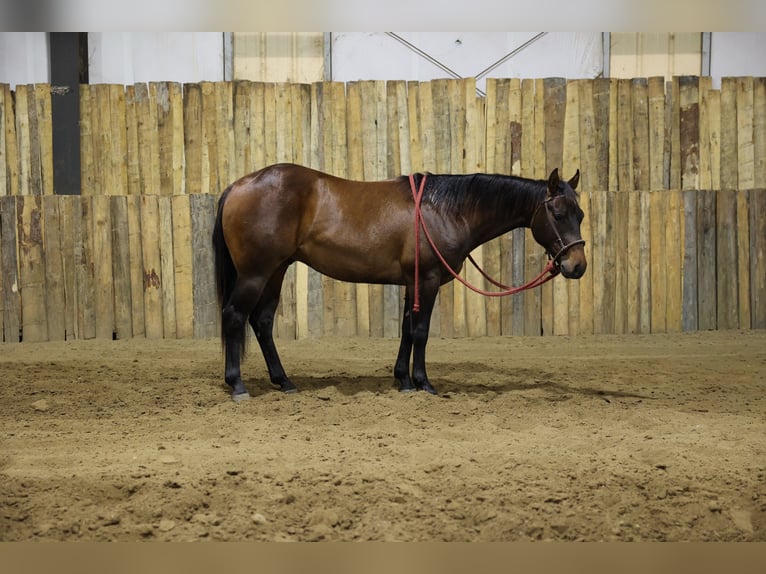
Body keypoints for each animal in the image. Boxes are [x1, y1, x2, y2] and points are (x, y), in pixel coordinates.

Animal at [213, 163, 586, 400]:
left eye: (580, 214)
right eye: (557, 214)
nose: (577, 265)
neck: (445, 210)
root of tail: (237, 186)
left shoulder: (412, 282)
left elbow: (407, 329)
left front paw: (403, 380)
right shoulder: (429, 280)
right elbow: (421, 332)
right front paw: (423, 383)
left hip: (276, 270)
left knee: (262, 321)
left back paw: (284, 381)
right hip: (256, 273)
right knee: (234, 315)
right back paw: (238, 386)